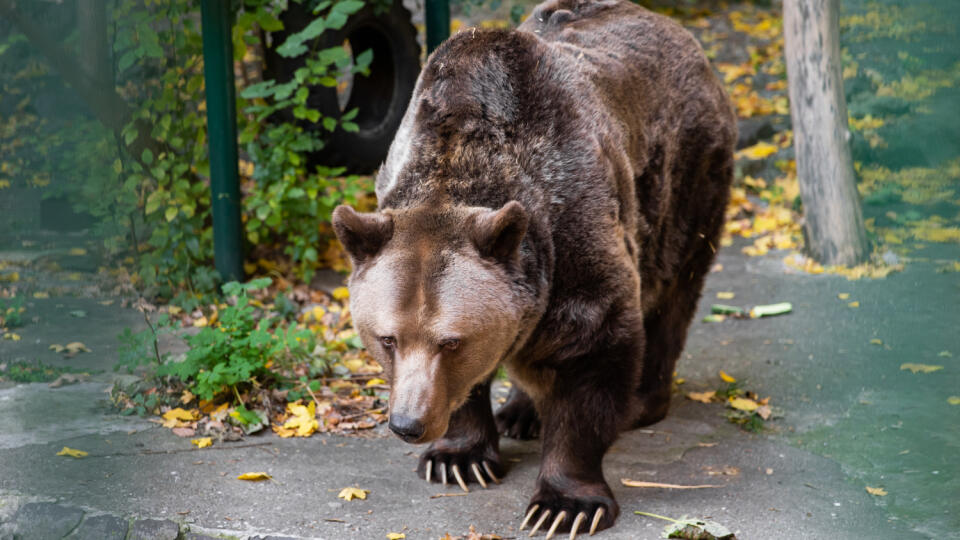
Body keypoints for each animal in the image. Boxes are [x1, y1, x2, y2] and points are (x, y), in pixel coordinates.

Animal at [330, 0, 736, 532]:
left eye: (451, 341)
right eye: (387, 338)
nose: (408, 425)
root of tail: (673, 28)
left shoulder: (572, 227)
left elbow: (594, 352)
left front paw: (565, 504)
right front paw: (458, 458)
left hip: (686, 187)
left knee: (673, 294)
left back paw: (642, 400)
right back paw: (520, 413)